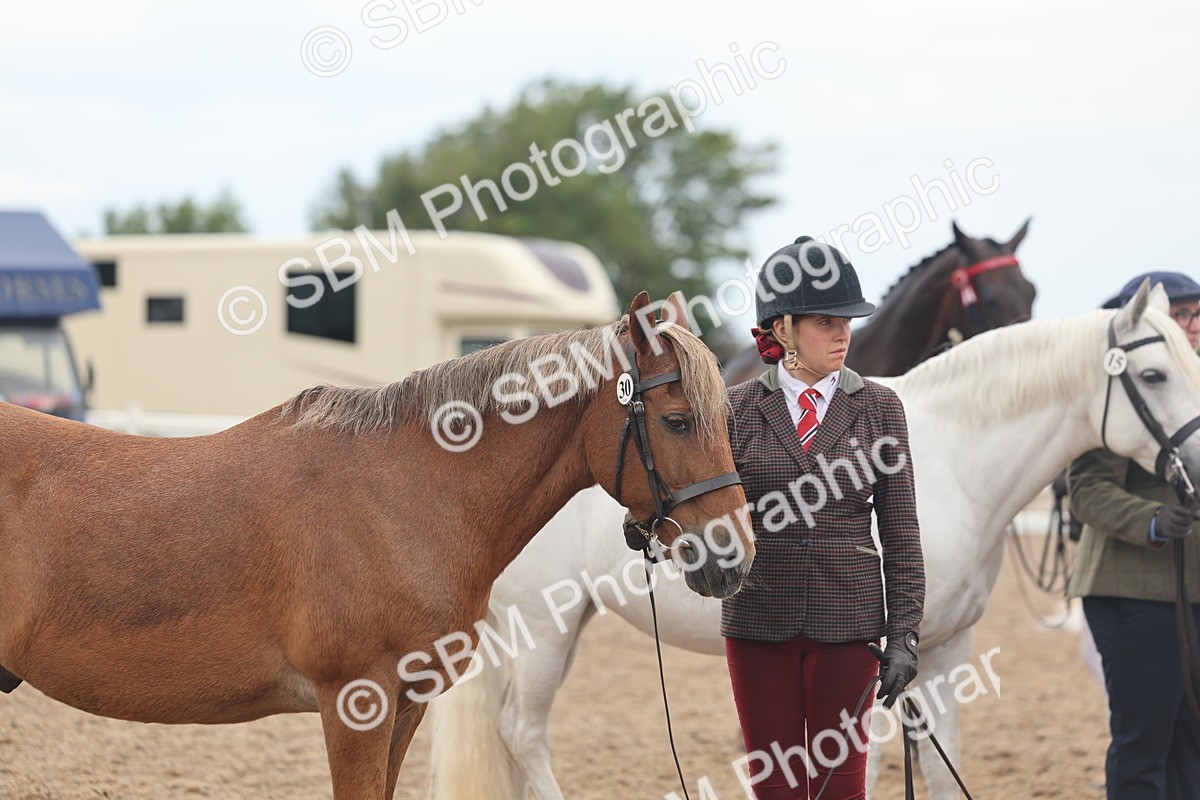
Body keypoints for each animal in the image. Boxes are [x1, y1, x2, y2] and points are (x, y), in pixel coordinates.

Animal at [427, 280, 1200, 800]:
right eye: (1154, 374)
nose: (1197, 473)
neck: (955, 458)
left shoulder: (943, 651)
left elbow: (939, 767)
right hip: (543, 626)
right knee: (522, 733)